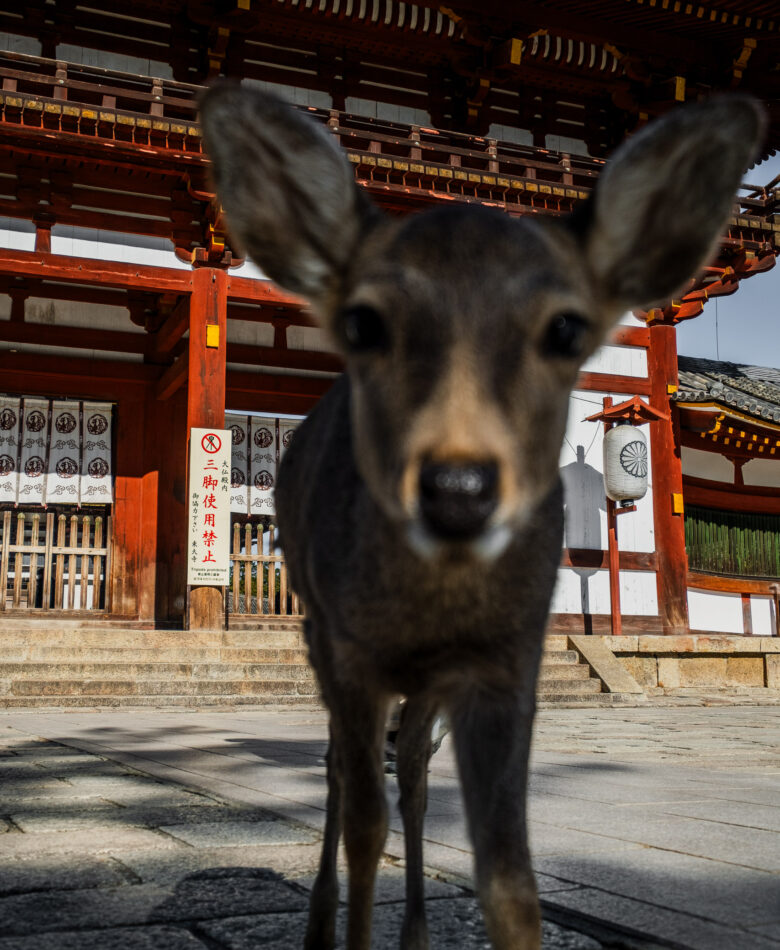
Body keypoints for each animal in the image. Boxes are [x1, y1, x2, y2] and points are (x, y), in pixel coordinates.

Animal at [199, 87, 763, 950]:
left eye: (566, 328)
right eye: (363, 322)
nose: (458, 488)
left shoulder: (507, 660)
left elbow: (510, 881)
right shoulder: (349, 651)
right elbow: (363, 823)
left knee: (414, 778)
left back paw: (415, 931)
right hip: (323, 635)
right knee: (341, 777)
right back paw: (323, 924)